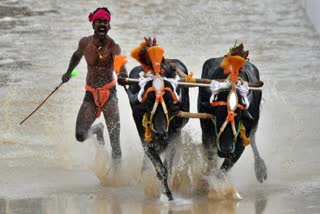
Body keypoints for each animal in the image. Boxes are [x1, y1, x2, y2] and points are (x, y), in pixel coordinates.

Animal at [126, 59, 189, 201]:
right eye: (149, 102)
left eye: (170, 101)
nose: (160, 133)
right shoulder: (147, 143)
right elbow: (160, 169)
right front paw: (166, 193)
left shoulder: (173, 140)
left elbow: (167, 167)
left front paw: (168, 194)